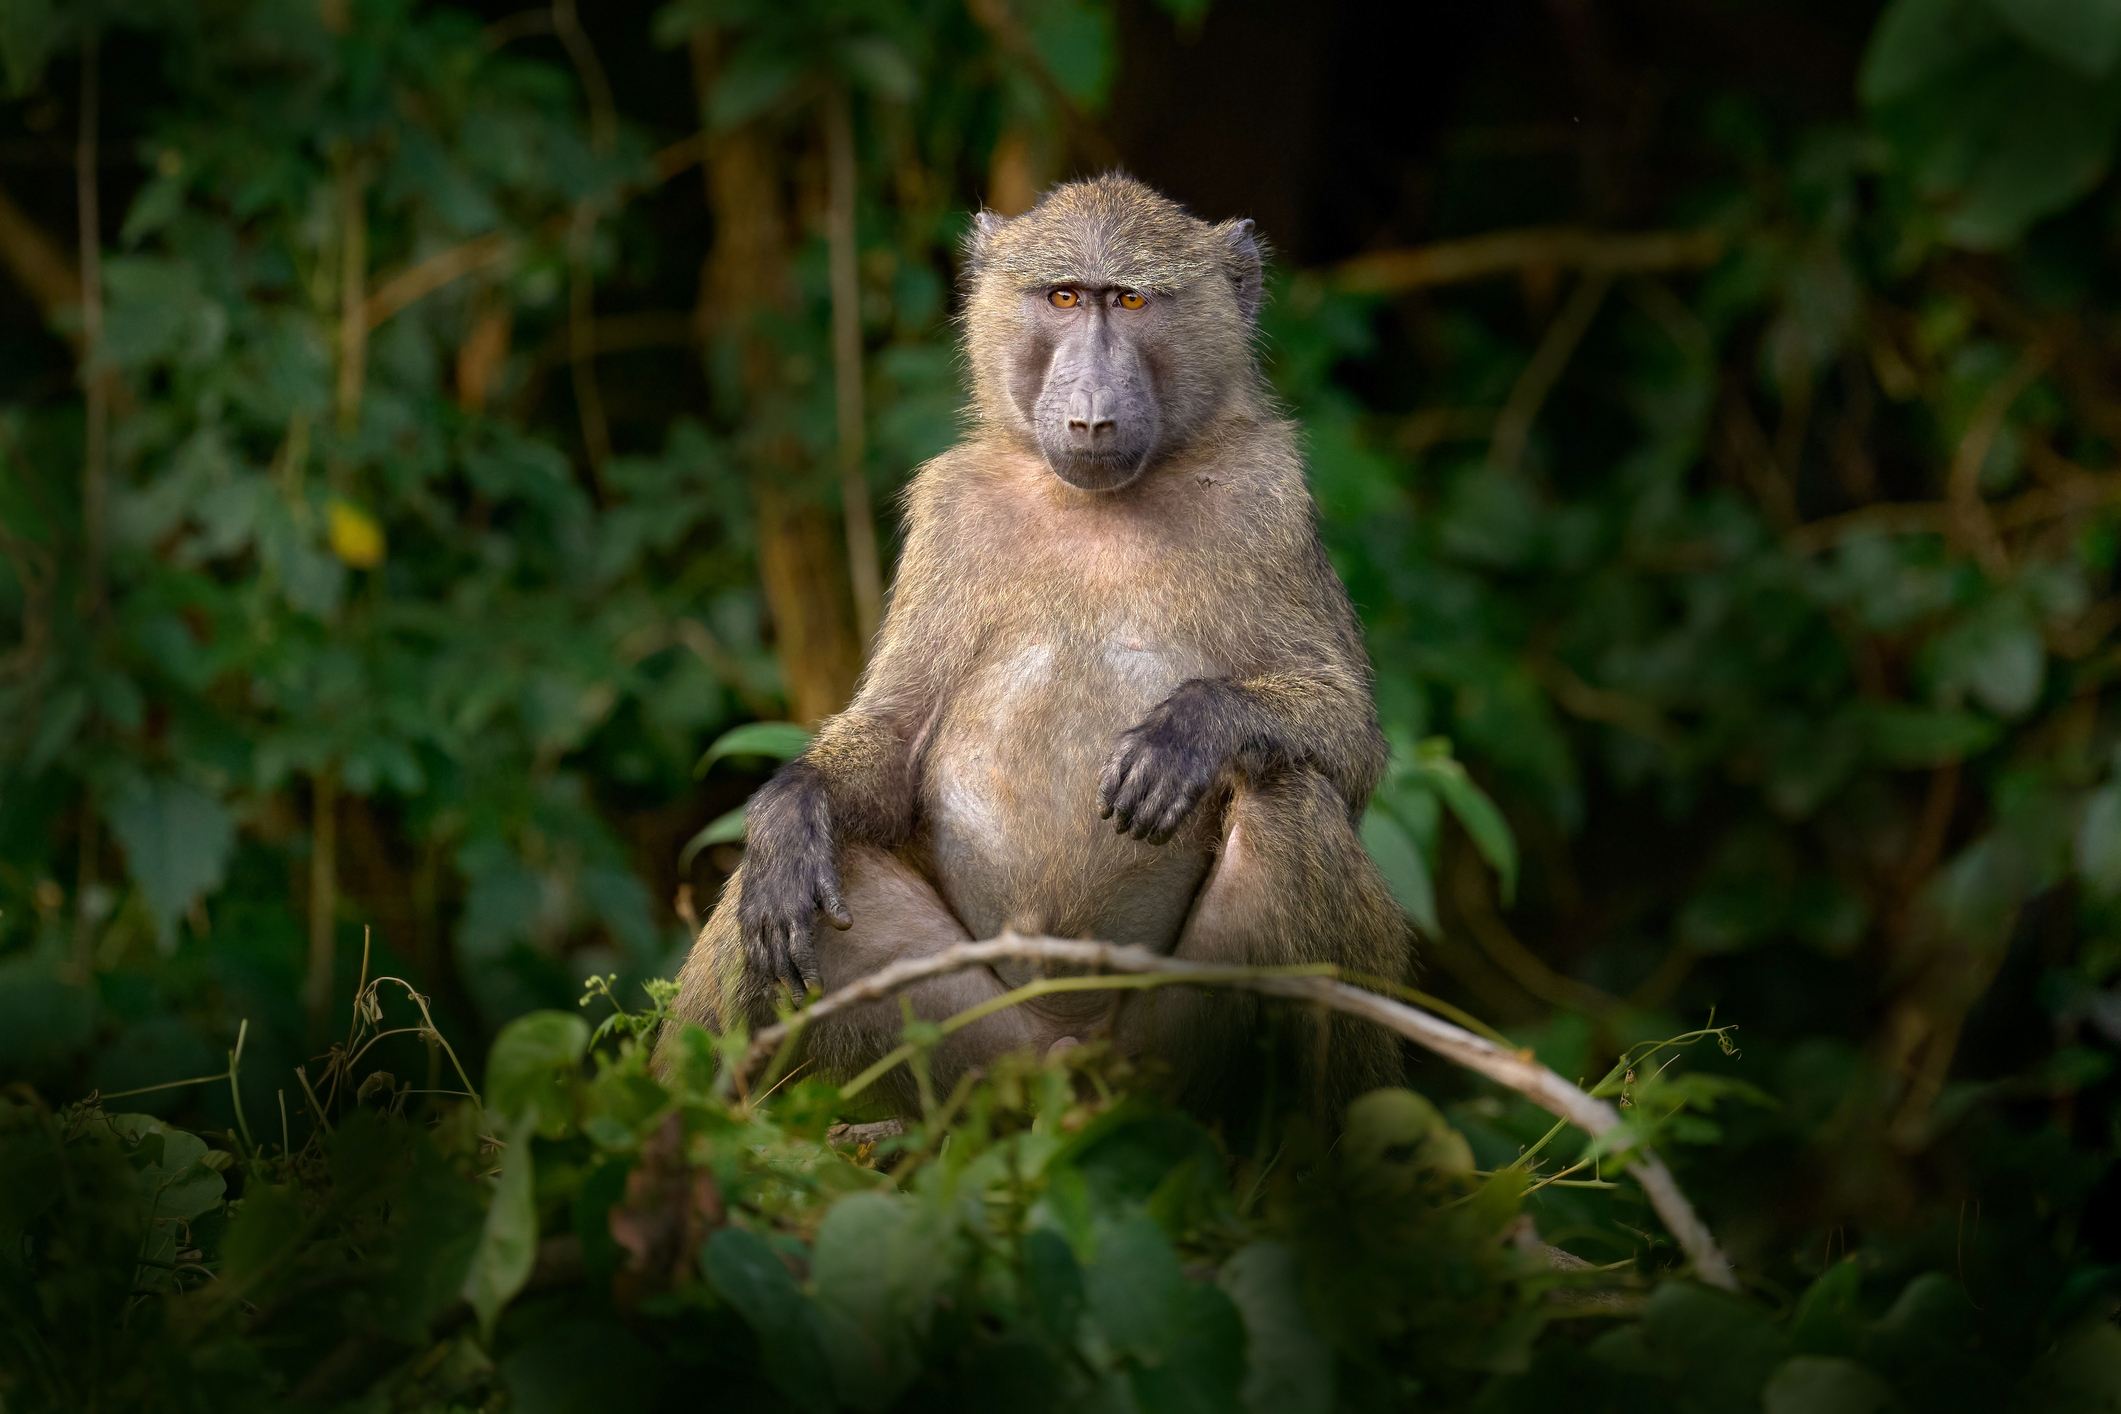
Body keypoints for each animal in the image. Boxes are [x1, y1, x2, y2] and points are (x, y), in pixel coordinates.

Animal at [661, 174, 1410, 1118]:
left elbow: (1351, 748)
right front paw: (791, 807)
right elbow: (892, 743)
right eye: (1061, 298)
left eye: (1128, 301)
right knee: (787, 895)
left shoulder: (1266, 498)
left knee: (1289, 801)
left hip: (1170, 1053)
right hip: (965, 1051)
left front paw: (1189, 731)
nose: (1089, 417)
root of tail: (1067, 1062)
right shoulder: (951, 512)